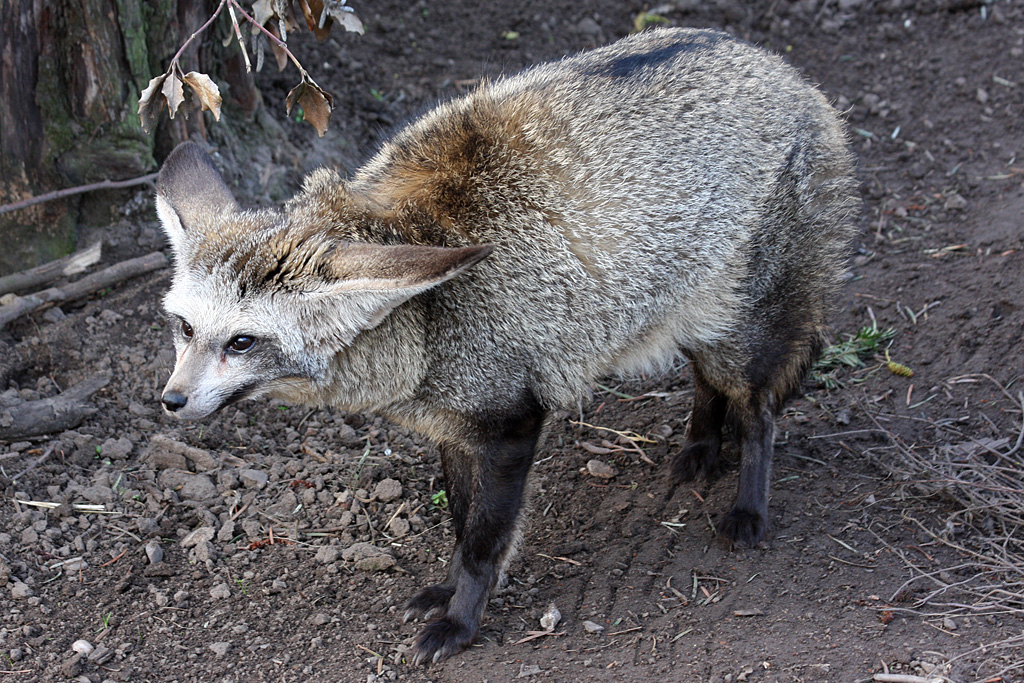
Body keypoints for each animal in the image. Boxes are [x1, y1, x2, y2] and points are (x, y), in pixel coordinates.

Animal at [154, 28, 858, 664]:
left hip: (738, 338)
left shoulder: (511, 424)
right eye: (185, 329)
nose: (171, 401)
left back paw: (747, 507)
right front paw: (445, 593)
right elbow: (461, 522)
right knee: (708, 384)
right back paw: (701, 450)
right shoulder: (451, 427)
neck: (427, 323)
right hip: (688, 321)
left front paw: (460, 623)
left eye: (243, 341)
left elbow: (482, 542)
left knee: (759, 413)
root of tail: (787, 74)